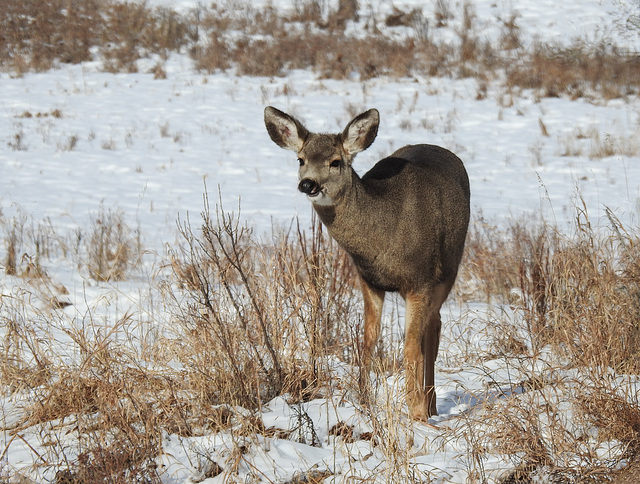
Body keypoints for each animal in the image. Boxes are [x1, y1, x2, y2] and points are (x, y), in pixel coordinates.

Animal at [264, 107, 470, 420]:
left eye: (335, 161)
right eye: (301, 159)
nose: (307, 184)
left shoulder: (421, 280)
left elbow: (411, 346)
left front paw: (416, 413)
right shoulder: (368, 280)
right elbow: (368, 339)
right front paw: (364, 401)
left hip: (449, 267)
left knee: (433, 328)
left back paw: (430, 405)